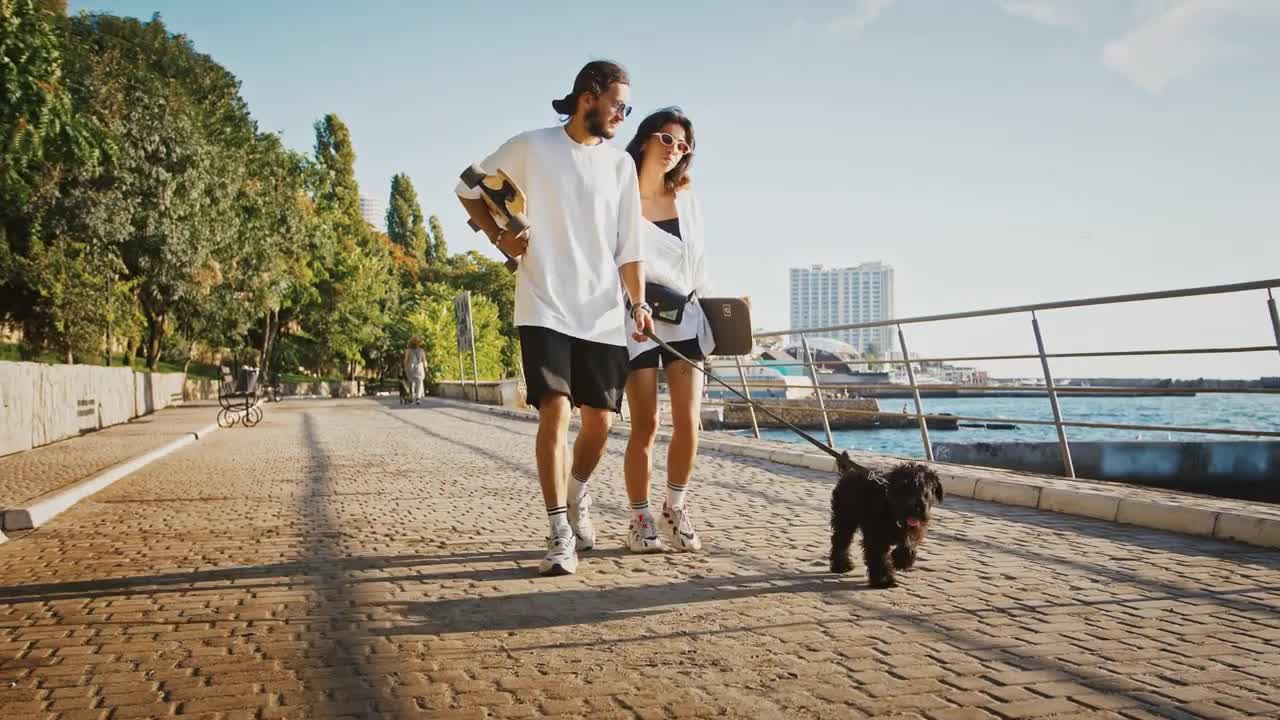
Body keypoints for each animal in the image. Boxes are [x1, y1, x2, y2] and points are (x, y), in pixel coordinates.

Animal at [829, 450, 942, 586]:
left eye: (924, 489)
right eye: (902, 488)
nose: (914, 508)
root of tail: (848, 473)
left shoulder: (915, 529)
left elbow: (908, 544)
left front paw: (901, 560)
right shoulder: (876, 536)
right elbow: (879, 557)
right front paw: (883, 580)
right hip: (845, 519)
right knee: (840, 541)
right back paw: (841, 566)